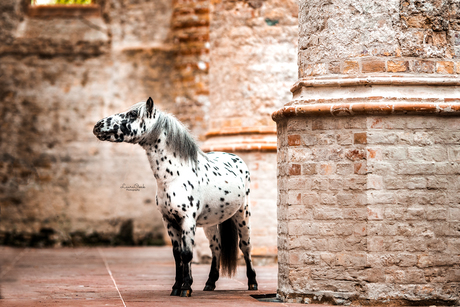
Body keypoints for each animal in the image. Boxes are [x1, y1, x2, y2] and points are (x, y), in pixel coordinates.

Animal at [92, 98, 258, 298]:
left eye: (132, 114)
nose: (97, 126)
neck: (175, 176)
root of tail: (236, 158)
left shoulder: (187, 220)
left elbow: (187, 254)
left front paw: (186, 288)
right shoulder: (169, 221)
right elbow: (177, 254)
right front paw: (176, 287)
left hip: (243, 215)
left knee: (245, 247)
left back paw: (252, 283)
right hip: (211, 223)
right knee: (216, 248)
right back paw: (210, 283)